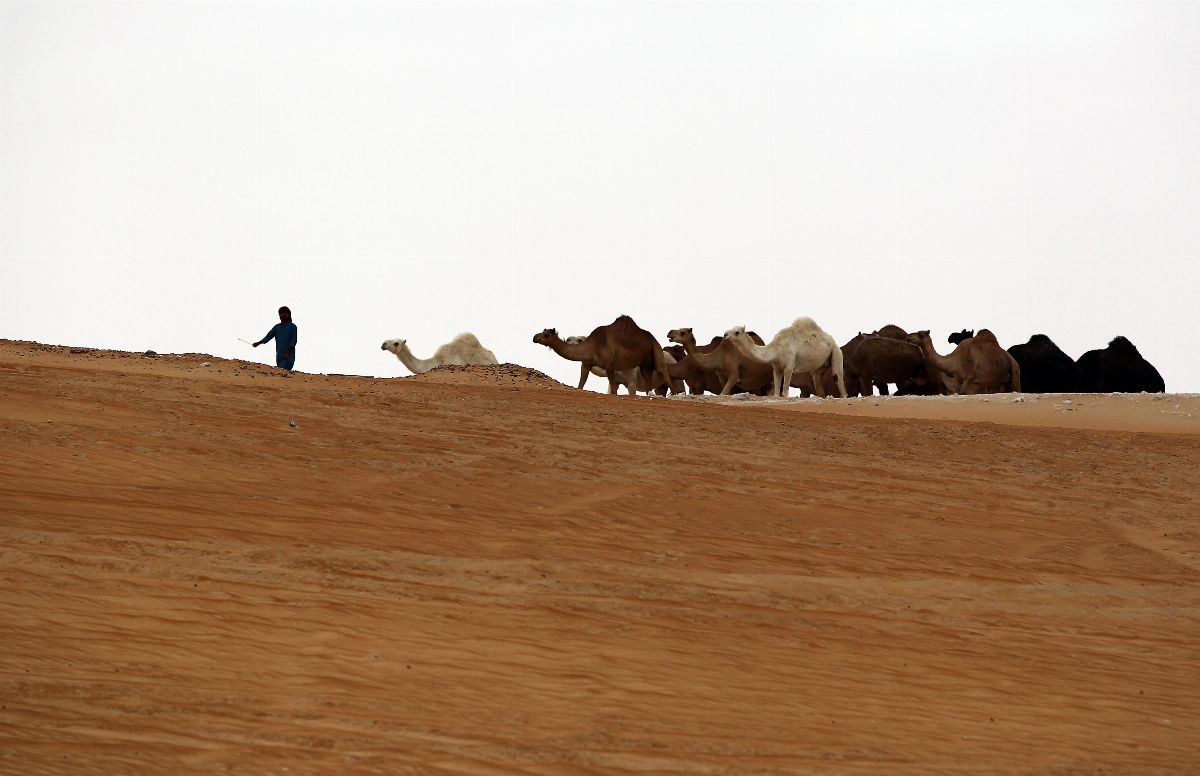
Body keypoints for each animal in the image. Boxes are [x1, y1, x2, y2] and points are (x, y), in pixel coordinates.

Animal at [535, 314, 676, 398]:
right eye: (542, 331)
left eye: (546, 335)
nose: (534, 337)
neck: (591, 346)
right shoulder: (586, 364)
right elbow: (580, 385)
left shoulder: (610, 365)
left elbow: (613, 391)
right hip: (646, 363)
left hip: (656, 350)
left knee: (665, 374)